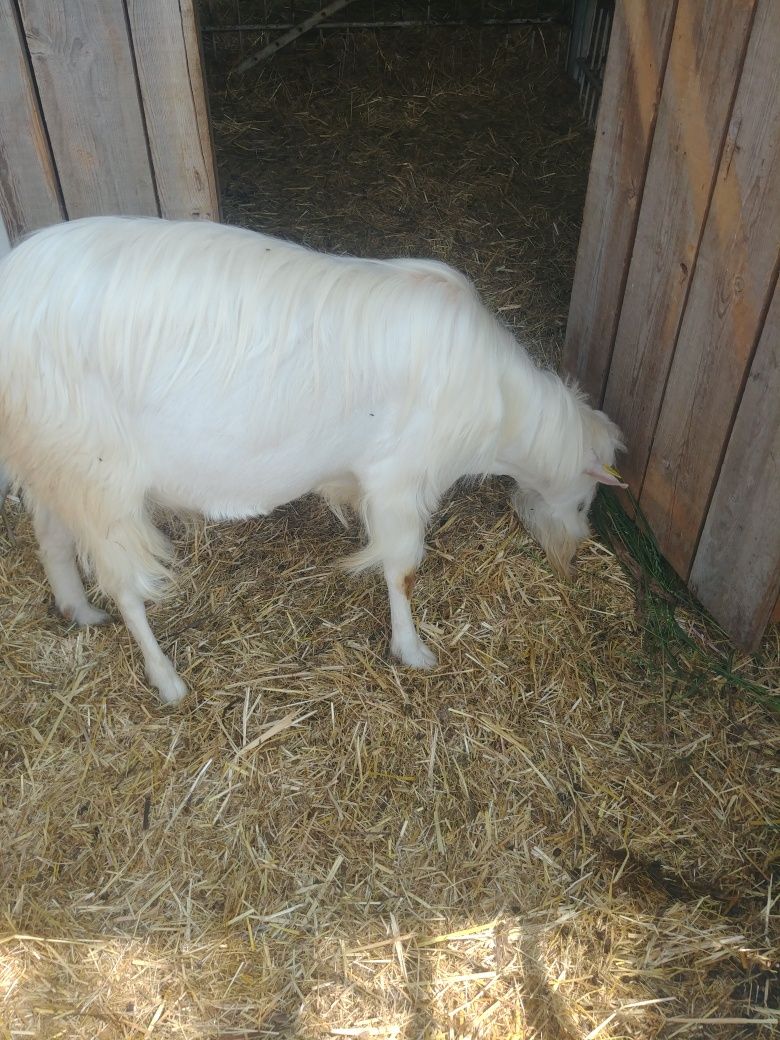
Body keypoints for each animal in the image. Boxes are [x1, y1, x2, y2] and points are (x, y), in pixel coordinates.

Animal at [0, 216, 625, 703]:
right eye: (585, 499)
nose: (575, 553)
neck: (502, 409)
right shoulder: (398, 477)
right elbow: (402, 568)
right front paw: (412, 650)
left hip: (55, 460)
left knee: (51, 537)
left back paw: (78, 610)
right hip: (98, 474)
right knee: (126, 585)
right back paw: (167, 680)